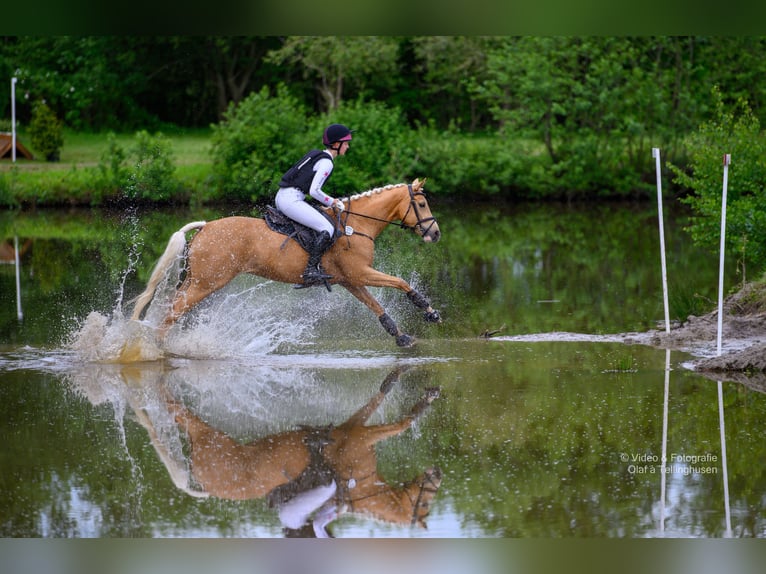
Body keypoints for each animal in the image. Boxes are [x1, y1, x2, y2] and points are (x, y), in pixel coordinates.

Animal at [133, 177, 444, 346]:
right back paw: (157, 350)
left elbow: (376, 306)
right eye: (422, 204)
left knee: (171, 308)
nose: (436, 233)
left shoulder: (350, 280)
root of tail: (205, 226)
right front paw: (429, 311)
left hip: (199, 281)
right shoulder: (362, 273)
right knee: (173, 311)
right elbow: (400, 283)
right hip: (207, 283)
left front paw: (401, 336)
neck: (356, 225)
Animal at [162, 366, 444, 536]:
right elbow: (399, 424)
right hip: (210, 437)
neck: (361, 486)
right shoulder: (360, 437)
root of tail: (207, 485)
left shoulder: (354, 425)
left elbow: (377, 400)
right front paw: (424, 400)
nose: (438, 473)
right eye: (425, 503)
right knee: (181, 413)